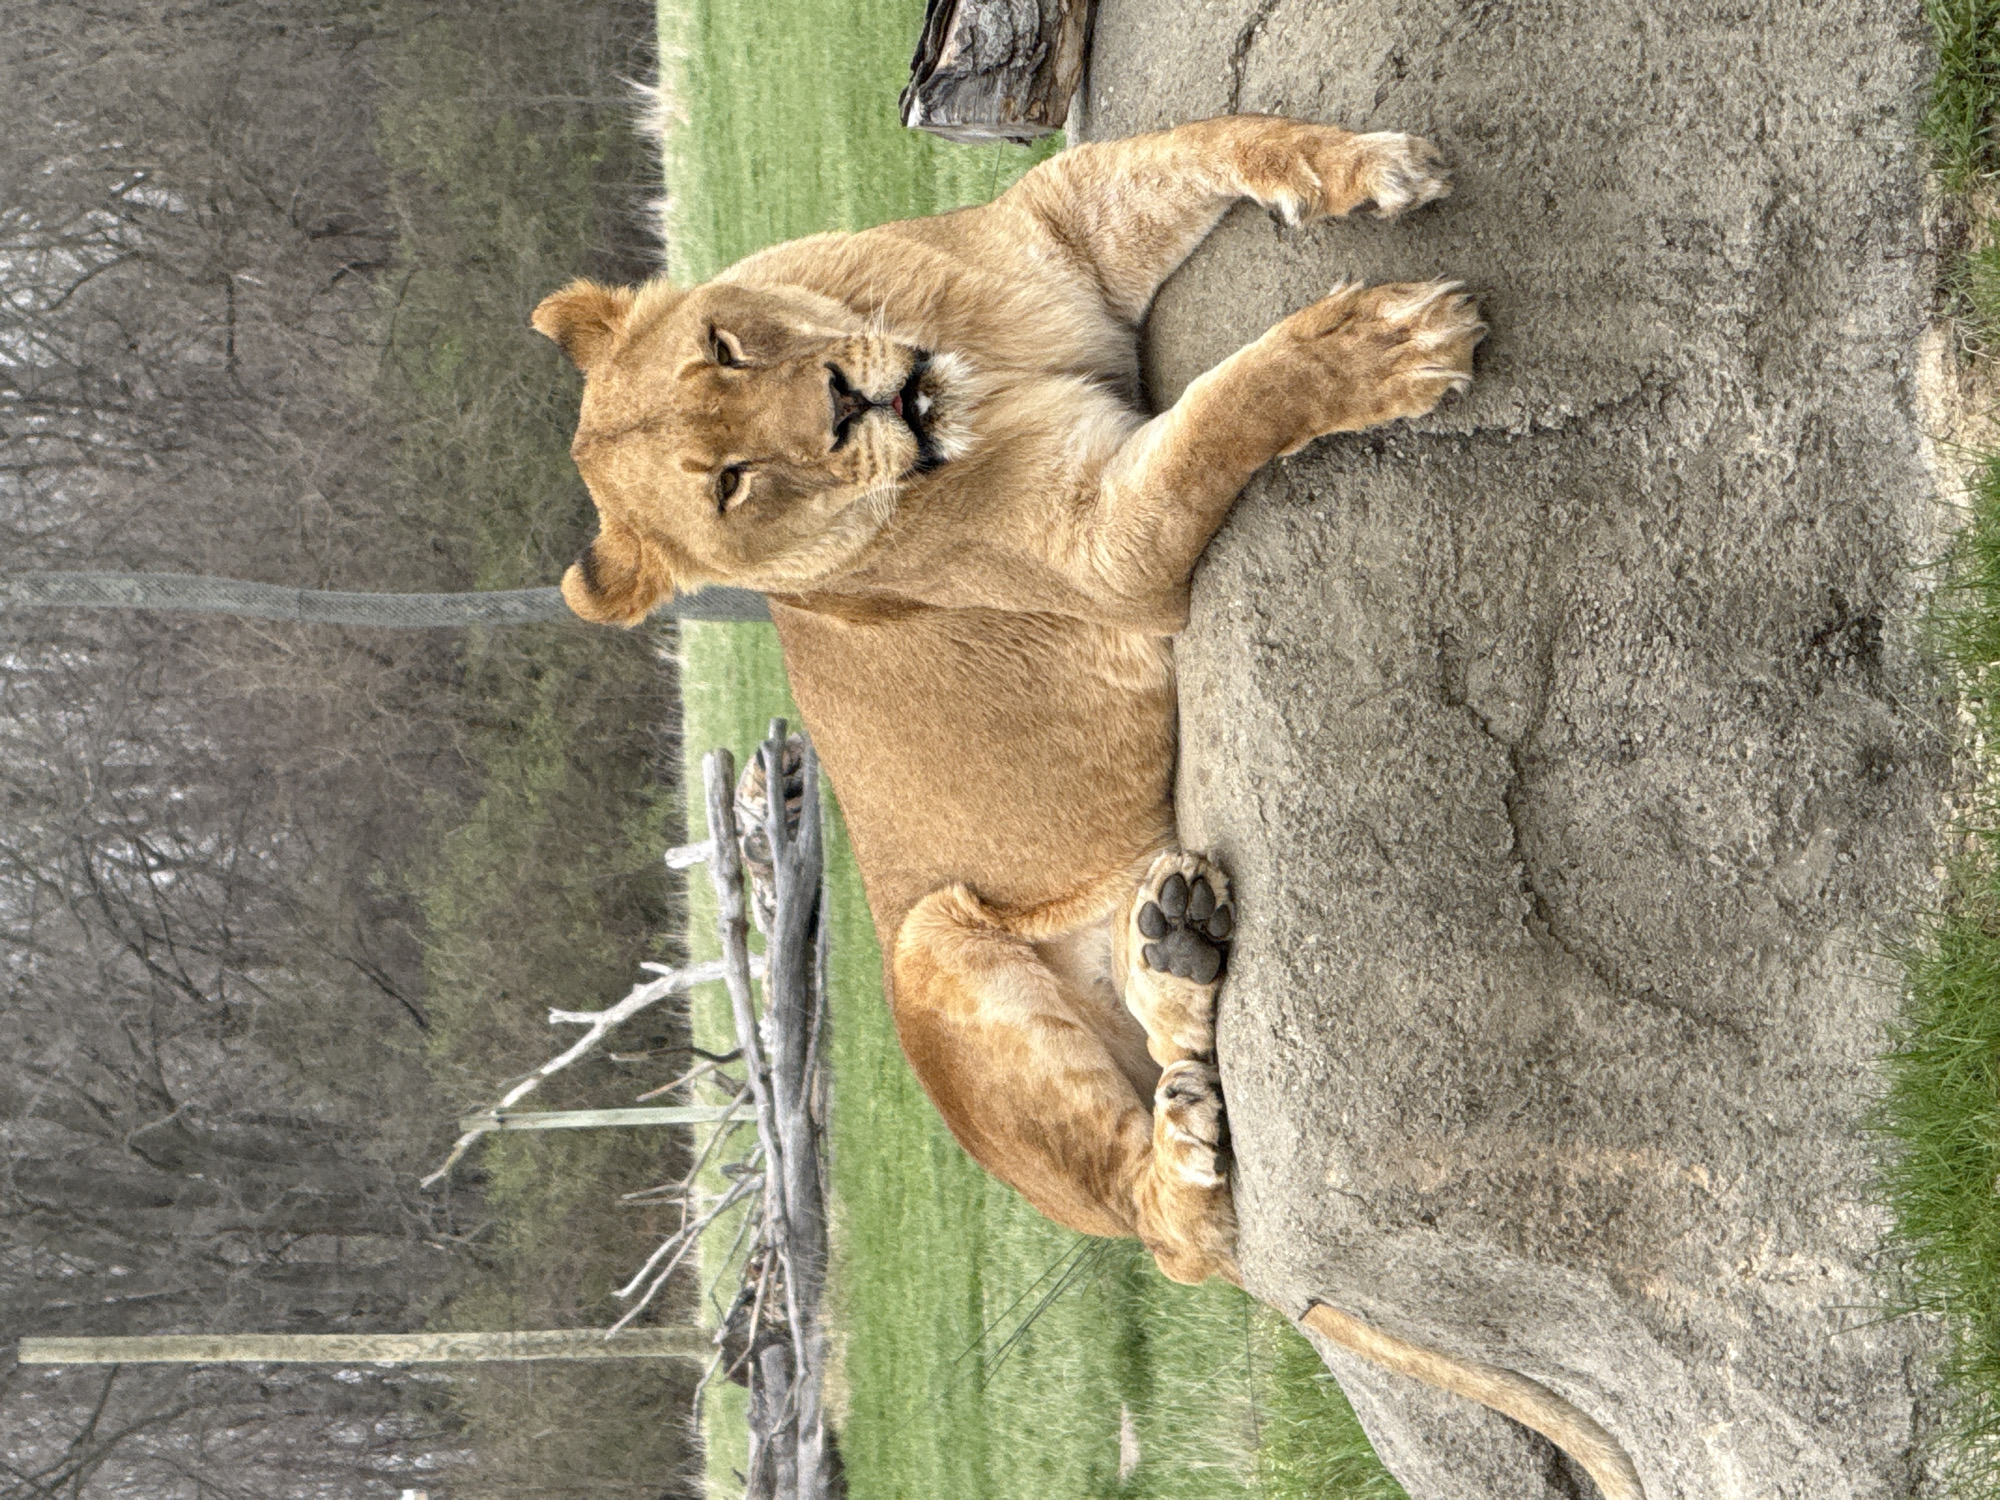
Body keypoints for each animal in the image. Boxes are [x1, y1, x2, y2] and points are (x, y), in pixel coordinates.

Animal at [534, 115, 1643, 1500]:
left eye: (725, 348)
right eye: (731, 484)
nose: (845, 404)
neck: (956, 364)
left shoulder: (1063, 225)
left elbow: (1204, 144)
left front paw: (1356, 169)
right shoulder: (1108, 545)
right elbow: (1222, 411)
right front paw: (1377, 345)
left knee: (1172, 1042)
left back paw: (1176, 946)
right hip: (925, 951)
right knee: (1173, 1237)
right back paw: (1179, 1139)